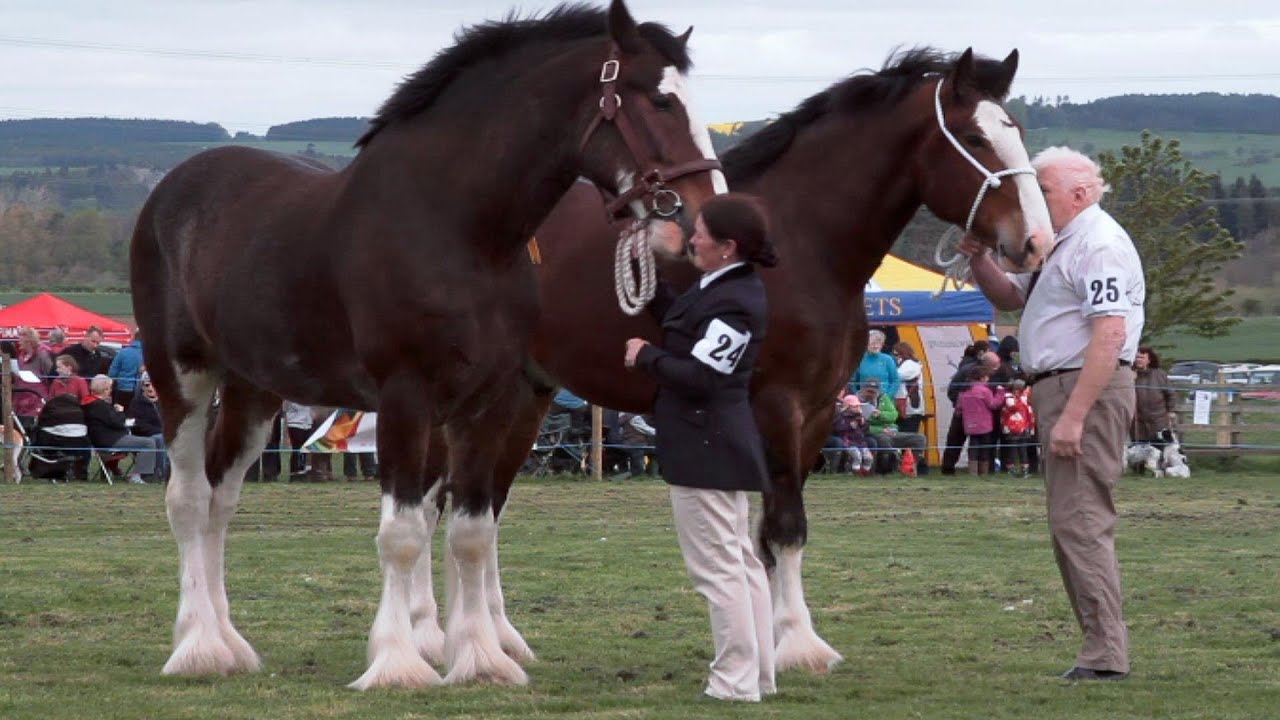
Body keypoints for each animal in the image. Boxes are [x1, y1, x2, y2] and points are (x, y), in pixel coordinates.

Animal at [129, 0, 723, 690]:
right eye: (659, 101)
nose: (700, 222)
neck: (457, 229)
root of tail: (174, 188)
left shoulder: (489, 401)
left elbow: (470, 531)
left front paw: (480, 659)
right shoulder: (405, 396)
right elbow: (404, 532)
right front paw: (397, 662)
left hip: (255, 390)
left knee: (223, 499)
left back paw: (230, 644)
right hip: (182, 374)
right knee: (189, 499)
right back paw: (197, 646)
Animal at [409, 46, 1053, 675]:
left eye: (1016, 130)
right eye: (973, 138)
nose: (1035, 243)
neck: (796, 241)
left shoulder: (816, 412)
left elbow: (765, 533)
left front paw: (766, 639)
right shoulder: (776, 405)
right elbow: (784, 526)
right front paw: (798, 644)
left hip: (523, 399)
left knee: (481, 509)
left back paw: (495, 639)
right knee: (432, 507)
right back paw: (428, 638)